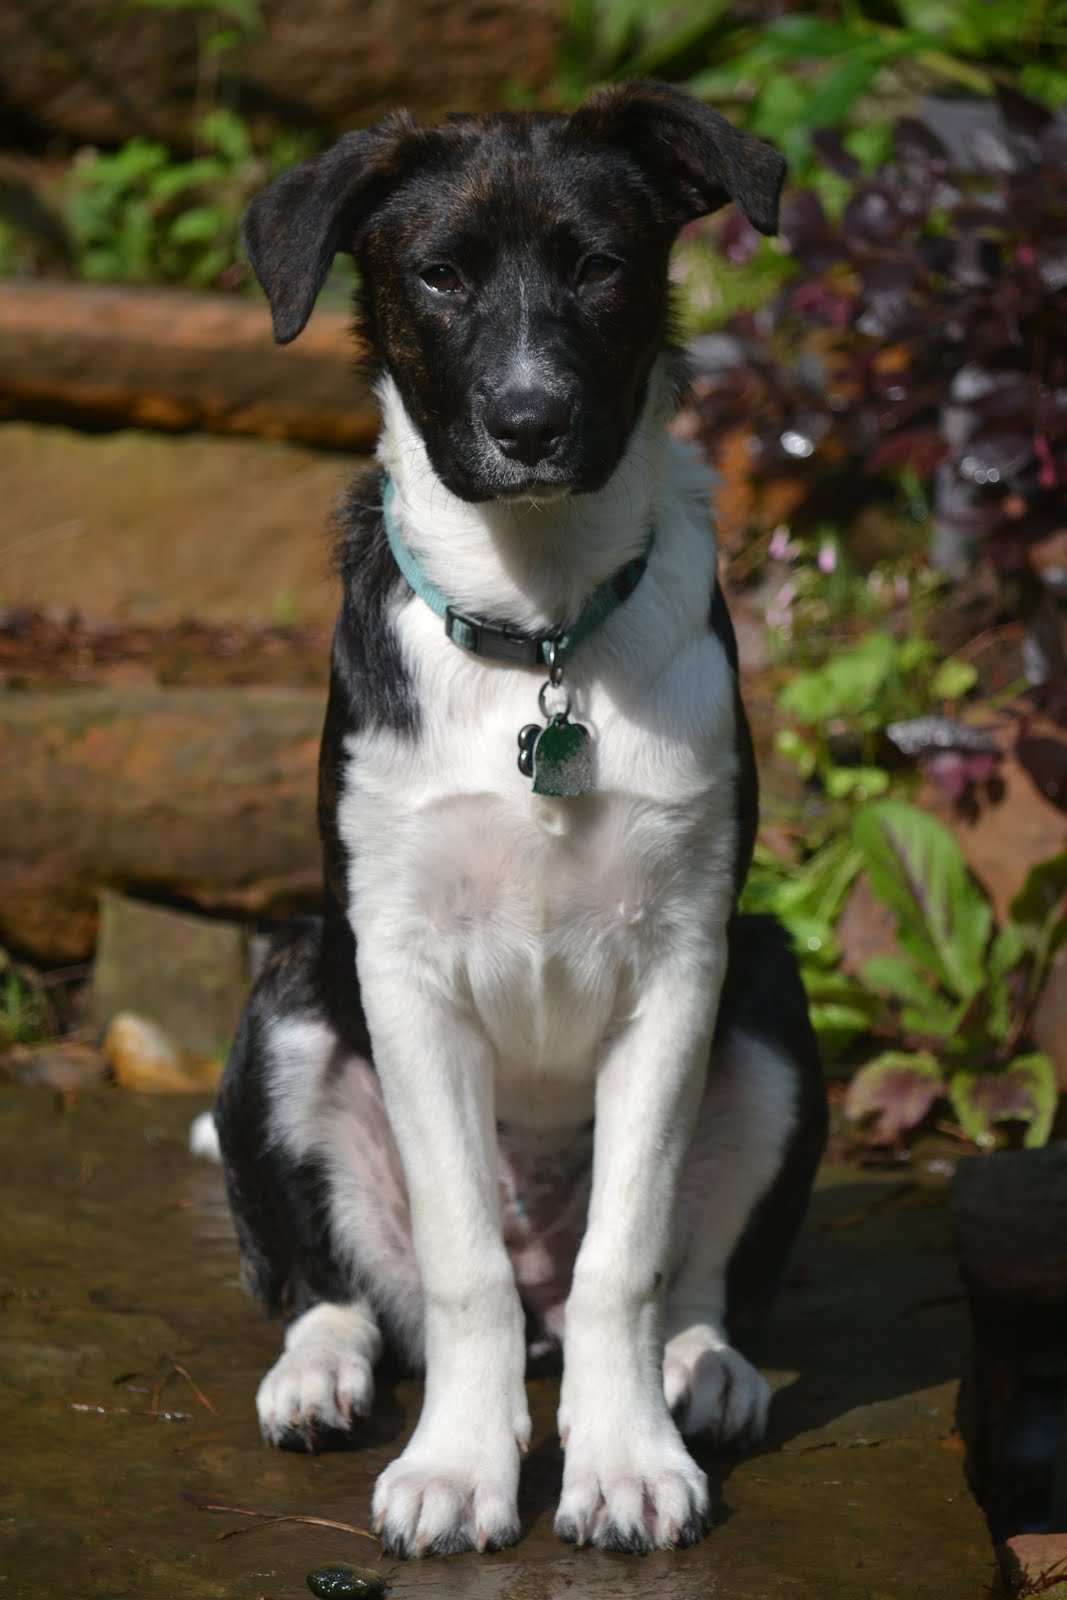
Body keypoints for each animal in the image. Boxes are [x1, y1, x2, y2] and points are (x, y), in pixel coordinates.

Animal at [214, 78, 825, 1561]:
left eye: (600, 265)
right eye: (436, 275)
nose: (531, 421)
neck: (538, 628)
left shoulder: (683, 962)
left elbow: (627, 1255)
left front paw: (623, 1463)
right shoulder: (400, 964)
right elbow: (456, 1262)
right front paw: (456, 1468)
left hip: (770, 985)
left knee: (691, 1275)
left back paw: (701, 1372)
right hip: (290, 988)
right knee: (335, 1282)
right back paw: (317, 1373)